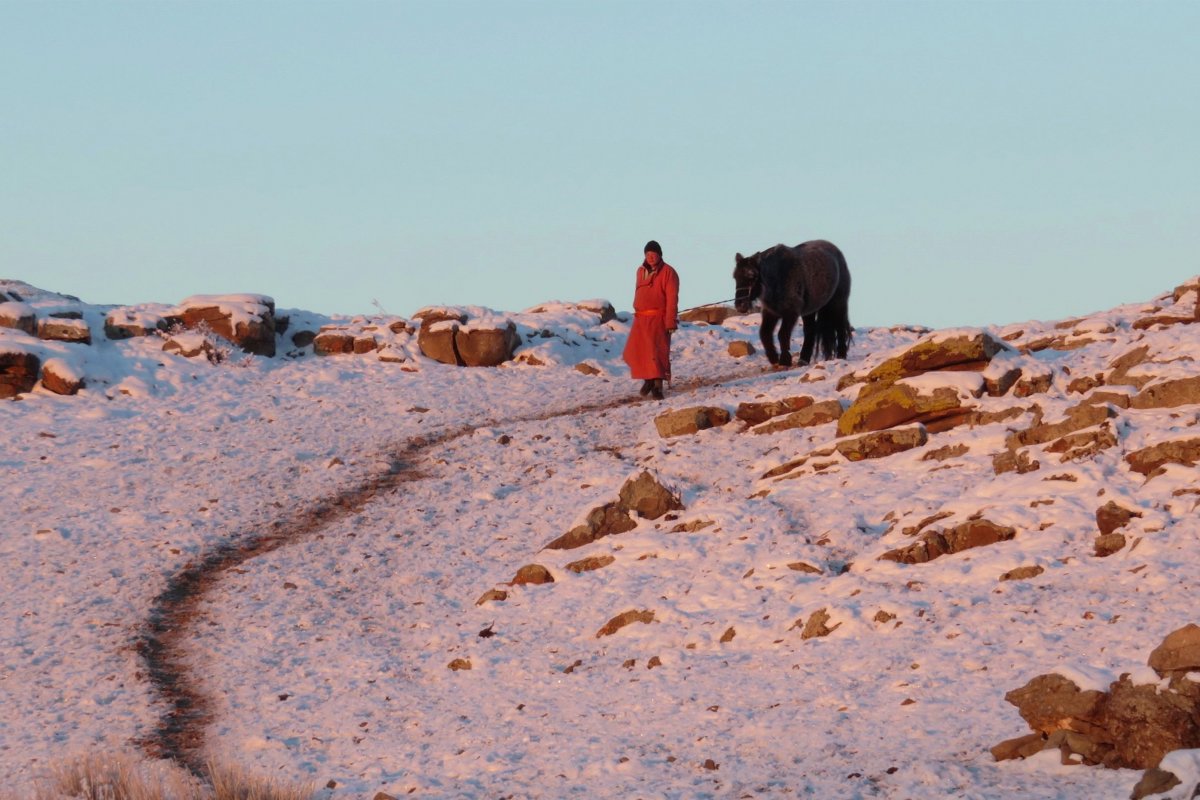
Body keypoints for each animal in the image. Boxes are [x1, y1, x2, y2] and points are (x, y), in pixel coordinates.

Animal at [729, 239, 854, 367]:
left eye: (752, 277)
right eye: (735, 277)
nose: (740, 305)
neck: (778, 276)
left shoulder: (791, 313)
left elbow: (782, 334)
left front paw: (785, 359)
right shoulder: (771, 312)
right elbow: (764, 334)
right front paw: (773, 357)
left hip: (838, 304)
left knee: (840, 327)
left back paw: (841, 355)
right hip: (810, 311)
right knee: (810, 331)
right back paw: (803, 359)